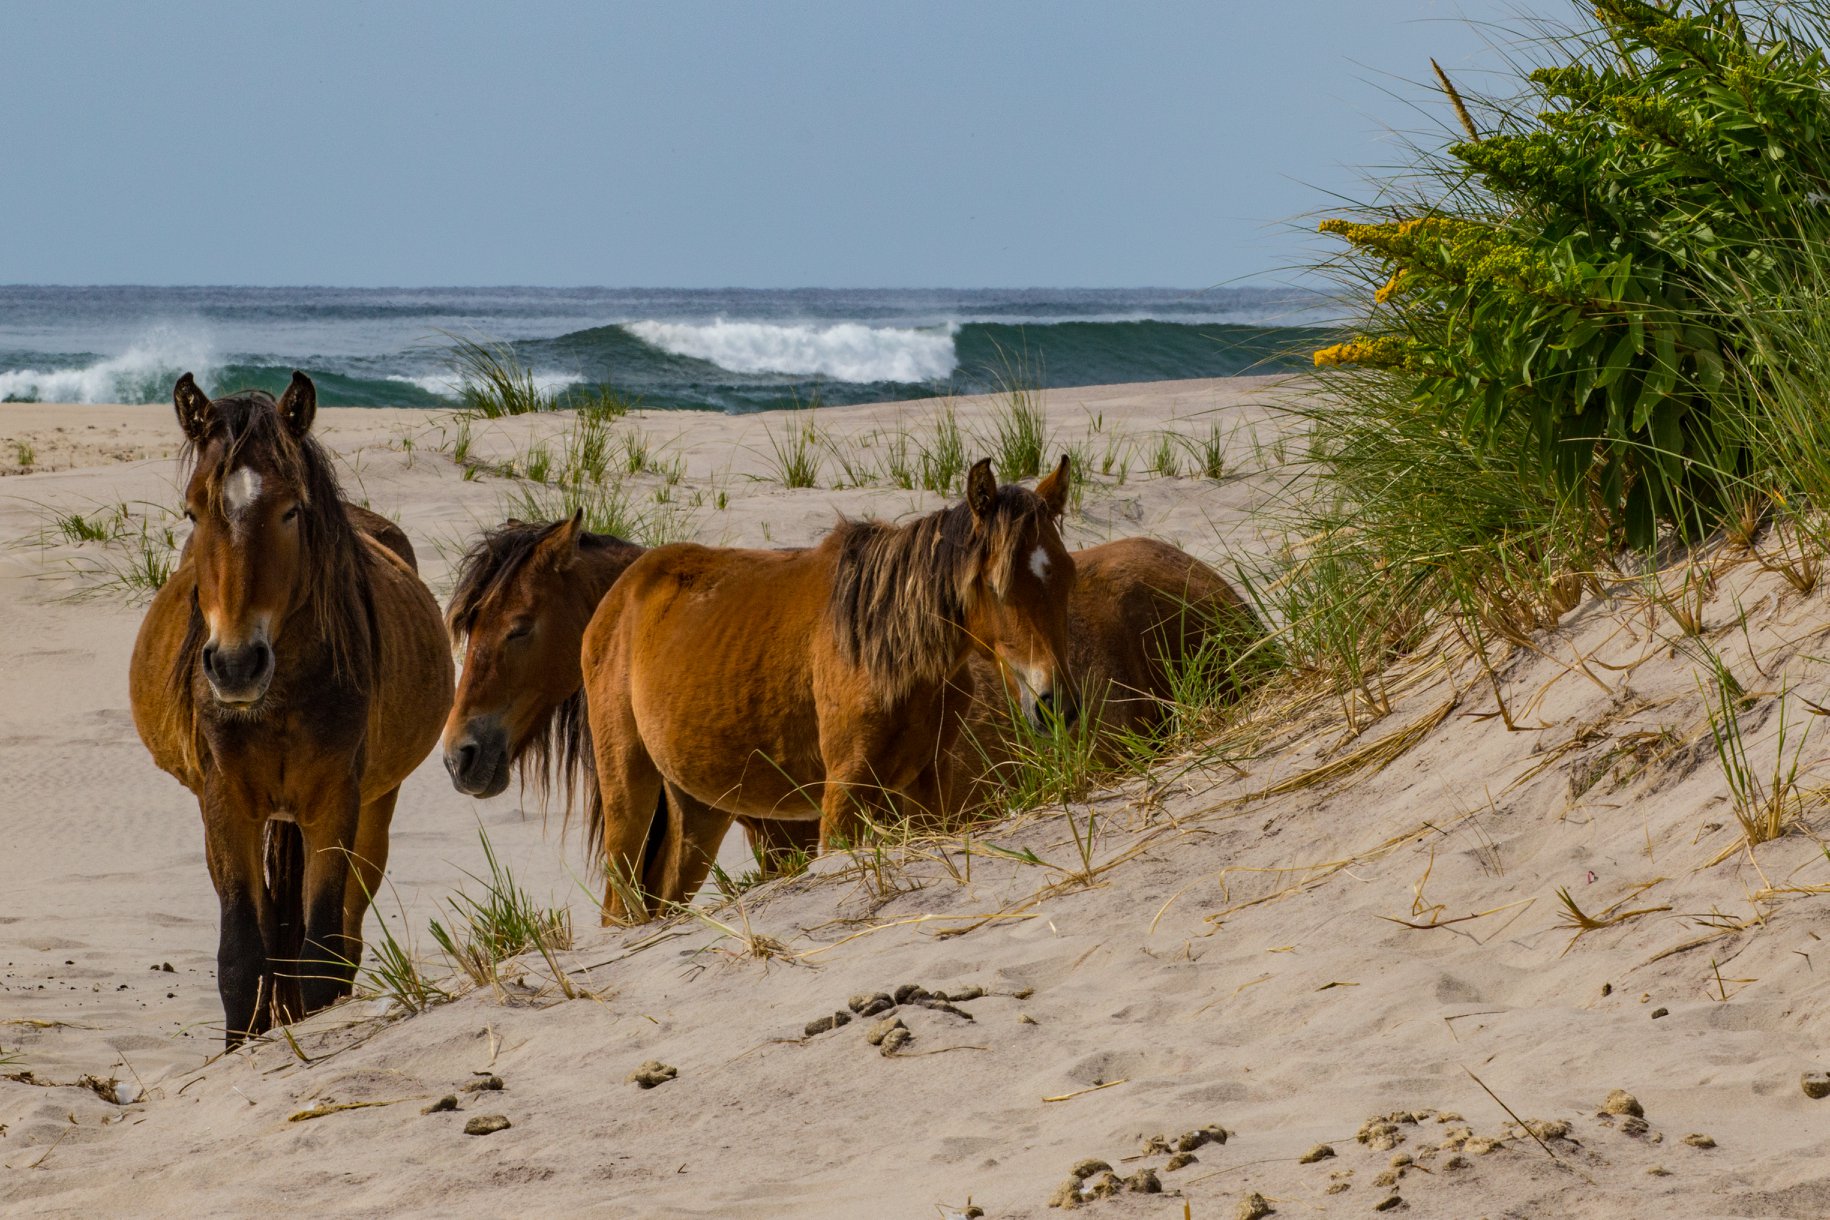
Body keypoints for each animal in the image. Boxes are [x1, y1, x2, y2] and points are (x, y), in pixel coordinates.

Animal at [129, 372, 453, 1045]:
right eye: (193, 511)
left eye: (291, 509)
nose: (235, 665)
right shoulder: (226, 804)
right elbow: (241, 959)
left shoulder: (335, 802)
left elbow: (321, 956)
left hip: (375, 811)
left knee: (345, 939)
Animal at [579, 457, 1077, 920]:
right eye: (996, 585)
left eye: (1067, 572)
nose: (1056, 706)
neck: (887, 646)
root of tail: (619, 595)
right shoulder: (845, 787)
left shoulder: (927, 781)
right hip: (628, 791)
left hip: (699, 808)